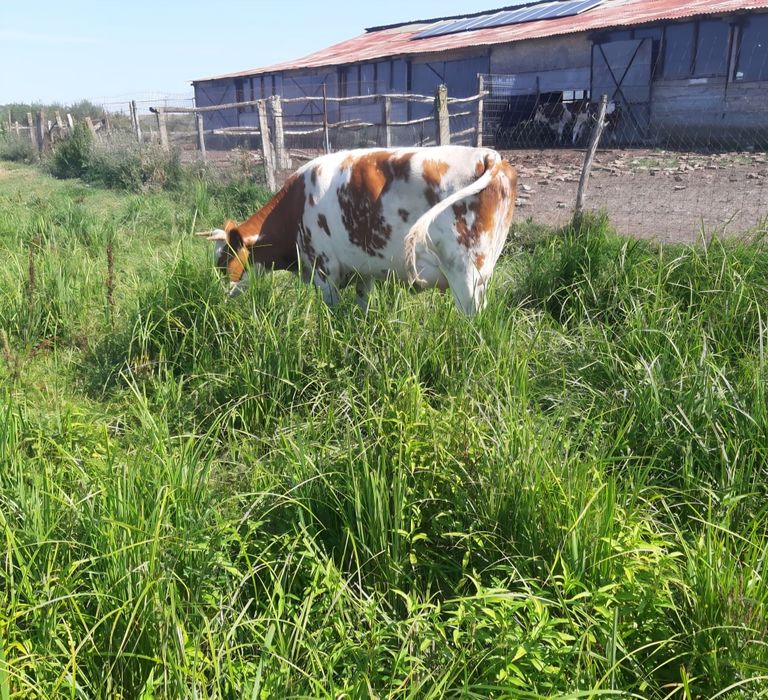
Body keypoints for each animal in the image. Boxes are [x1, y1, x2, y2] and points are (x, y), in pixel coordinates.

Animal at [198, 146, 517, 316]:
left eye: (224, 261)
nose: (217, 299)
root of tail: (488, 155)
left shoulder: (324, 270)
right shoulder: (363, 271)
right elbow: (363, 309)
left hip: (465, 275)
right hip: (482, 273)